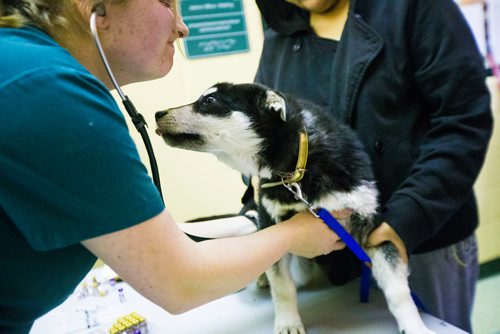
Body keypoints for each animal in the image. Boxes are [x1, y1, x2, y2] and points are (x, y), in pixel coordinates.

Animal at [154, 83, 436, 334]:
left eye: (209, 101)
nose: (158, 113)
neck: (297, 169)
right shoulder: (273, 227)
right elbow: (282, 287)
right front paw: (288, 322)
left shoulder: (371, 227)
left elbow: (399, 292)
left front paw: (415, 327)